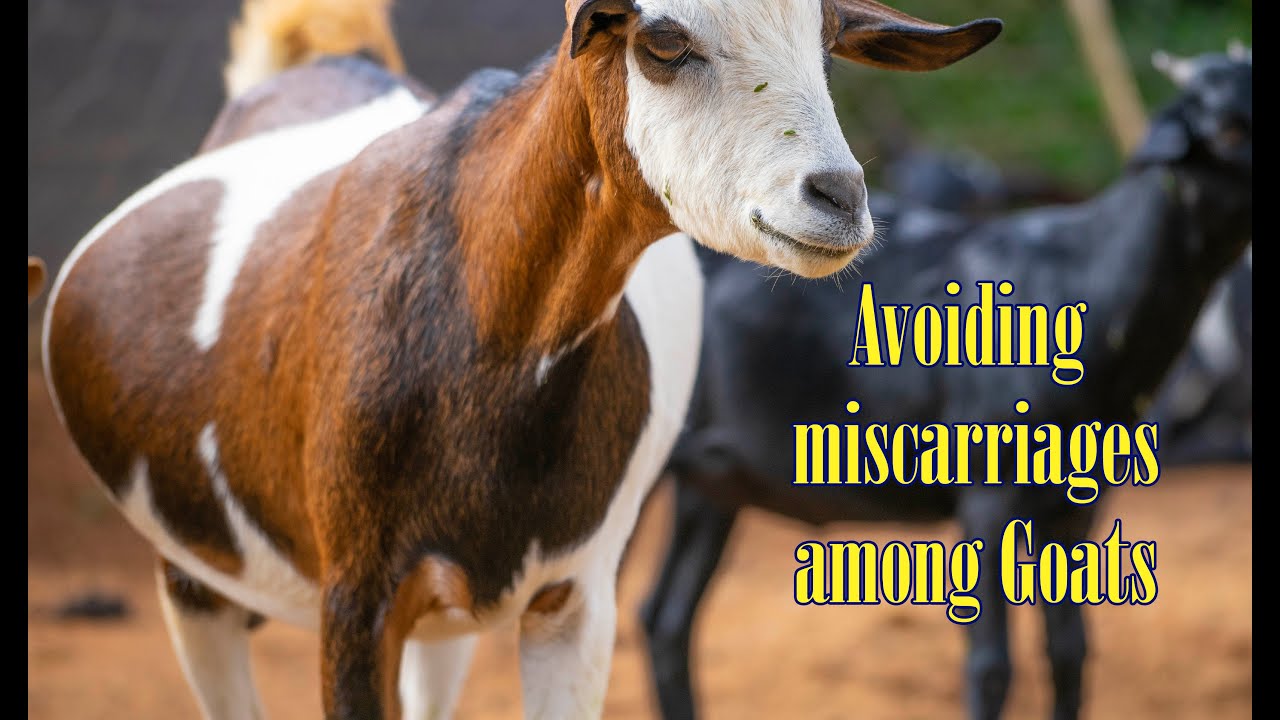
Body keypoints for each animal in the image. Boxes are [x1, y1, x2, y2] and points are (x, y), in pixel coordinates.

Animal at [40, 0, 1001, 717]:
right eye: (664, 42)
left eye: (828, 41)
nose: (837, 199)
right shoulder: (354, 600)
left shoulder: (573, 598)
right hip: (194, 577)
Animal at [641, 46, 1251, 720]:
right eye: (1227, 130)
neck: (1081, 278)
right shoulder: (987, 495)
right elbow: (991, 664)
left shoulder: (1076, 506)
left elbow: (1069, 651)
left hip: (711, 480)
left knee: (664, 620)